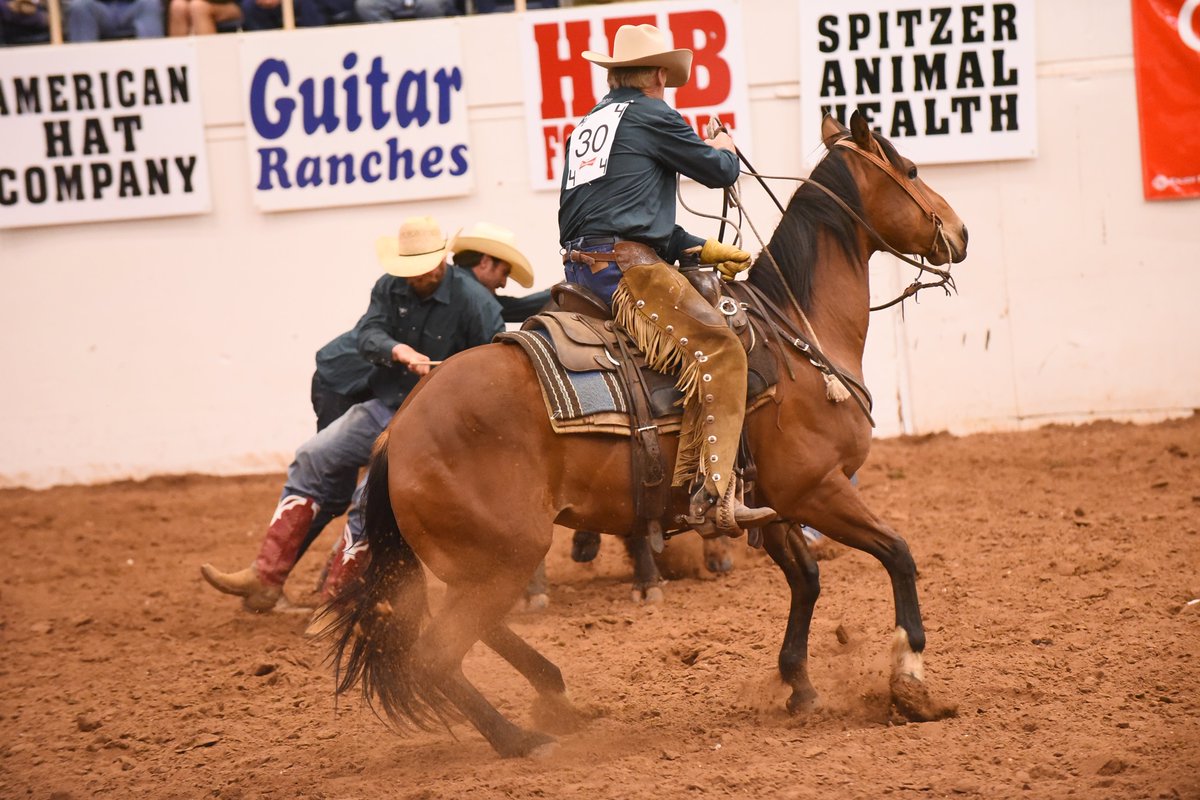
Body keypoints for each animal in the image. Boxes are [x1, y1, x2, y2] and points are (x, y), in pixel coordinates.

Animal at [327, 110, 969, 758]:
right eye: (912, 169)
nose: (960, 233)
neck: (797, 334)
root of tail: (398, 432)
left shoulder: (776, 503)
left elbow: (807, 580)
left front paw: (800, 686)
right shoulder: (818, 489)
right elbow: (898, 553)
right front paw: (911, 677)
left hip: (479, 564)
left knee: (477, 635)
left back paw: (556, 695)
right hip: (503, 556)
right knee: (436, 654)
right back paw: (523, 740)